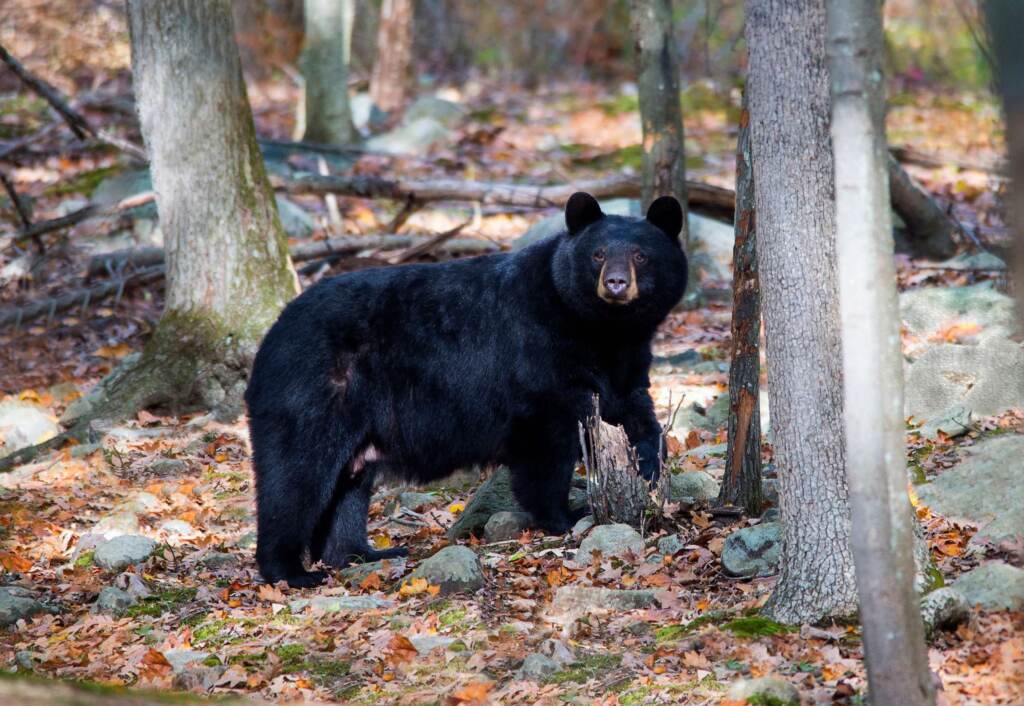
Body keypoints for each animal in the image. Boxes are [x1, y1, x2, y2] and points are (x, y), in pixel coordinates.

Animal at [245, 192, 688, 587]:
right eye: (597, 254)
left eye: (641, 255)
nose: (615, 283)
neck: (603, 330)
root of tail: (272, 333)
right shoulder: (538, 353)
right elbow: (547, 445)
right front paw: (564, 515)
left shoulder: (627, 364)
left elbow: (636, 416)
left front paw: (650, 473)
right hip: (316, 389)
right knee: (297, 474)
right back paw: (291, 571)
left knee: (348, 485)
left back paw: (363, 553)